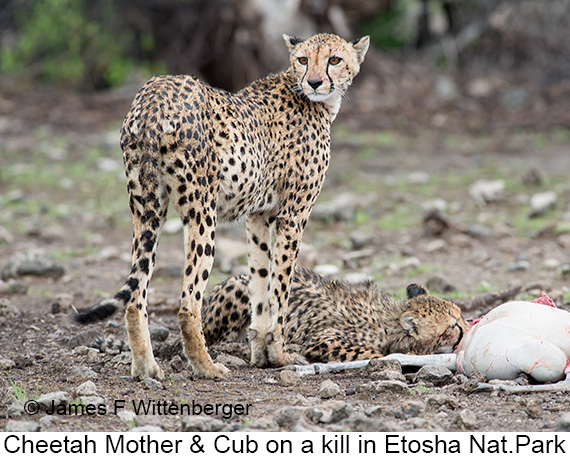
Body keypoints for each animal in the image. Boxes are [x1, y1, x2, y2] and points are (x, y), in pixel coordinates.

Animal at [75, 33, 368, 382]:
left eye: (334, 60)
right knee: (188, 304)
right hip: (202, 214)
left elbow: (260, 284)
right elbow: (279, 290)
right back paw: (207, 367)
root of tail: (157, 89)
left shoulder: (258, 217)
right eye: (303, 60)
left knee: (136, 297)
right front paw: (280, 355)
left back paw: (146, 368)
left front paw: (260, 354)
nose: (313, 82)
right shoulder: (292, 217)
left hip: (146, 210)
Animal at [202, 268, 468, 360]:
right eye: (452, 326)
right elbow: (373, 353)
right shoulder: (323, 340)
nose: (467, 328)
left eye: (461, 315)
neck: (389, 319)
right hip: (239, 292)